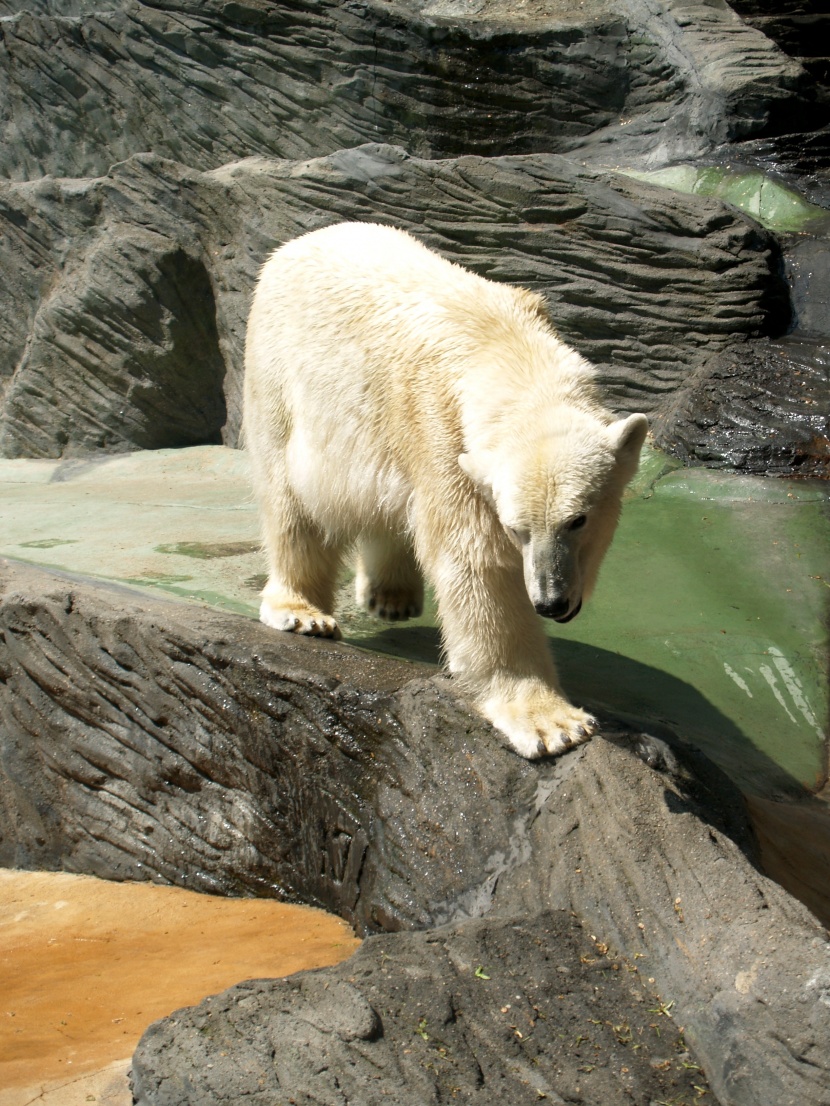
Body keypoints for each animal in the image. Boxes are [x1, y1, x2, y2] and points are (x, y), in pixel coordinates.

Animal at [243, 224, 646, 760]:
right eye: (516, 529)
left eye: (578, 519)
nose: (551, 603)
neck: (503, 345)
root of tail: (293, 245)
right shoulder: (440, 431)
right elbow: (476, 566)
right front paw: (553, 723)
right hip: (282, 379)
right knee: (291, 503)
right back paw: (303, 612)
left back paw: (391, 594)